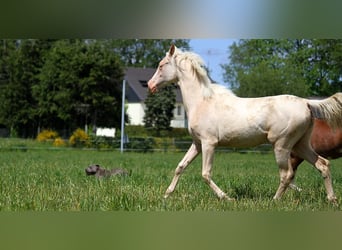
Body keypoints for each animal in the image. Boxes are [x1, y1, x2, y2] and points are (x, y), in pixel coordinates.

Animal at [147, 44, 342, 201]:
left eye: (161, 65)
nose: (150, 85)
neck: (202, 102)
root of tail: (306, 102)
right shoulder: (197, 143)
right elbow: (180, 167)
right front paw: (166, 195)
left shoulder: (209, 143)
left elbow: (205, 174)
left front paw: (226, 197)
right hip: (300, 145)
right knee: (322, 165)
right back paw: (331, 199)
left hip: (282, 145)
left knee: (287, 174)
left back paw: (275, 200)